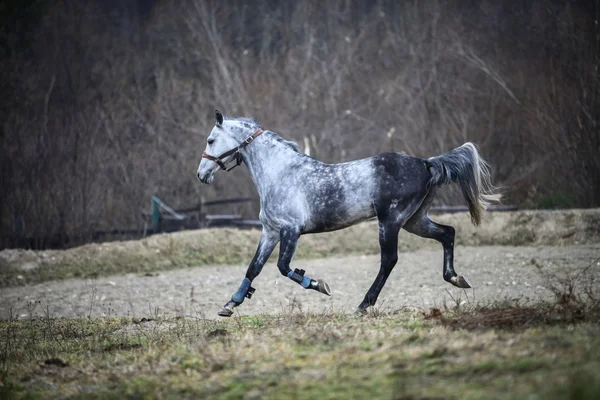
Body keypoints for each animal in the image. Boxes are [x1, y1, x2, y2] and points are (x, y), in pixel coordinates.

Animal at [198, 111, 502, 318]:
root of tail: (425, 163)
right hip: (414, 220)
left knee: (389, 260)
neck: (280, 173)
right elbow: (254, 267)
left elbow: (284, 267)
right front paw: (230, 305)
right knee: (447, 233)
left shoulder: (290, 230)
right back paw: (456, 278)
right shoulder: (270, 231)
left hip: (391, 221)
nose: (201, 175)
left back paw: (363, 305)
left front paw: (319, 285)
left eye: (211, 140)